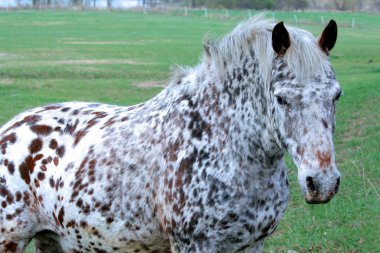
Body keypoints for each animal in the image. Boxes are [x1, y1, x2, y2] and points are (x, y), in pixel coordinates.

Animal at [0, 15, 342, 253]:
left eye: (336, 95)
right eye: (282, 98)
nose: (322, 182)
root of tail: (10, 129)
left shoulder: (252, 244)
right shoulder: (193, 244)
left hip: (53, 240)